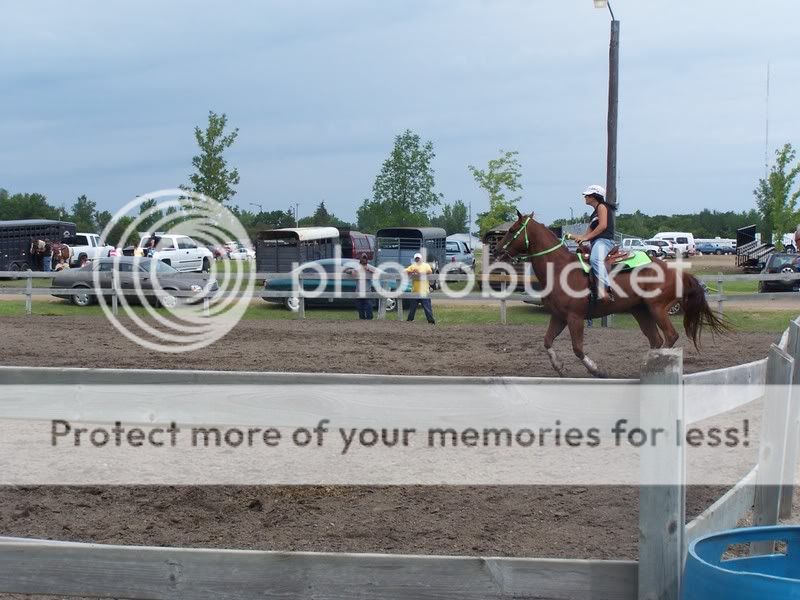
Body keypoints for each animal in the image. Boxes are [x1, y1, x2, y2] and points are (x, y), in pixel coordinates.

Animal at [490, 211, 728, 378]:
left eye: (512, 229)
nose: (496, 250)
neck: (559, 269)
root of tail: (678, 272)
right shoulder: (558, 316)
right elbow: (547, 341)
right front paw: (559, 367)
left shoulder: (575, 317)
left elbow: (577, 348)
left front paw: (596, 370)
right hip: (641, 311)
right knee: (656, 339)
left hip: (657, 308)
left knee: (670, 336)